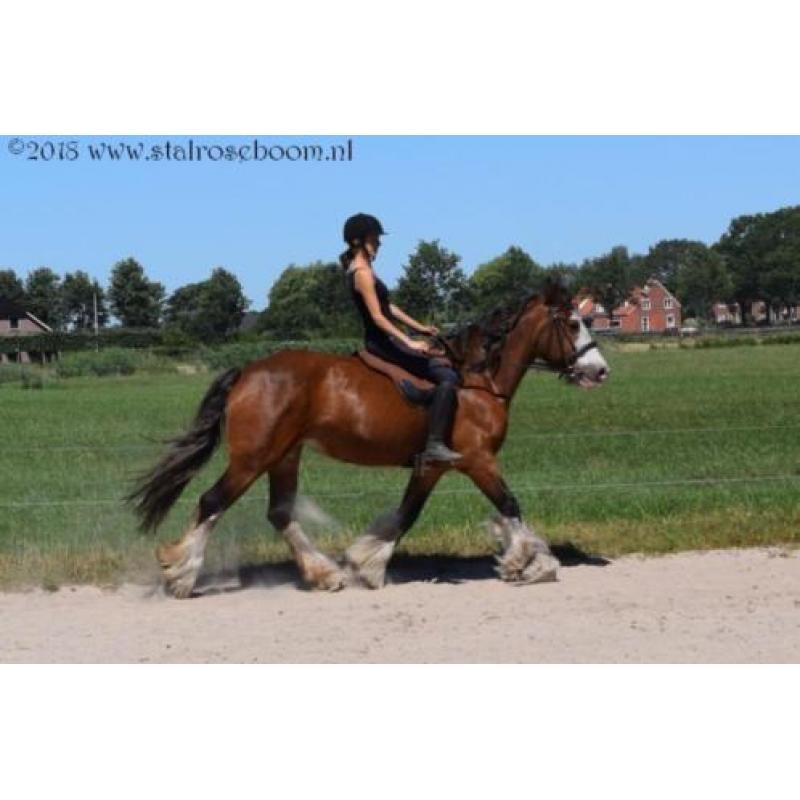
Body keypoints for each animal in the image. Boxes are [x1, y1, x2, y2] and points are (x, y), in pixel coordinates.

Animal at [128, 278, 608, 596]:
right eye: (571, 323)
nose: (600, 370)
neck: (478, 381)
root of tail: (247, 372)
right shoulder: (478, 460)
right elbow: (510, 505)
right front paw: (532, 563)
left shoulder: (433, 466)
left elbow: (406, 514)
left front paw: (366, 565)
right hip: (253, 458)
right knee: (212, 502)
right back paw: (180, 574)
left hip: (285, 456)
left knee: (280, 513)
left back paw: (325, 574)